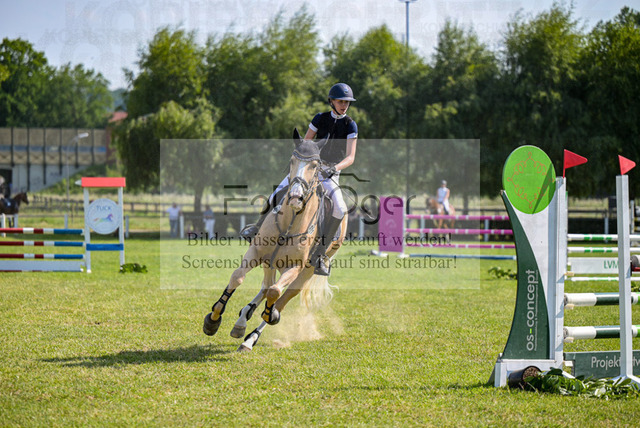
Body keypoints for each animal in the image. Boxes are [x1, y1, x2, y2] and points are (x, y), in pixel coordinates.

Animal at [203, 129, 347, 352]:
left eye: (315, 165)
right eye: (292, 161)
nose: (295, 197)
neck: (290, 223)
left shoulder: (295, 266)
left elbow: (274, 293)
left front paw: (268, 317)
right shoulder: (256, 252)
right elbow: (238, 277)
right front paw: (213, 319)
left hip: (306, 271)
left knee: (281, 296)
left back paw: (252, 337)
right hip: (270, 262)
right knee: (265, 286)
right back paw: (242, 320)